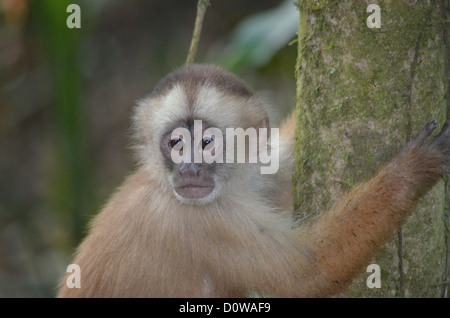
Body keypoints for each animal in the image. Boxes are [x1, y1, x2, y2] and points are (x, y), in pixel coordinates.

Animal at [58, 64, 450, 298]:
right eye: (176, 144)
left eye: (206, 143)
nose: (188, 171)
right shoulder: (204, 220)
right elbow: (313, 271)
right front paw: (414, 168)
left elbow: (274, 160)